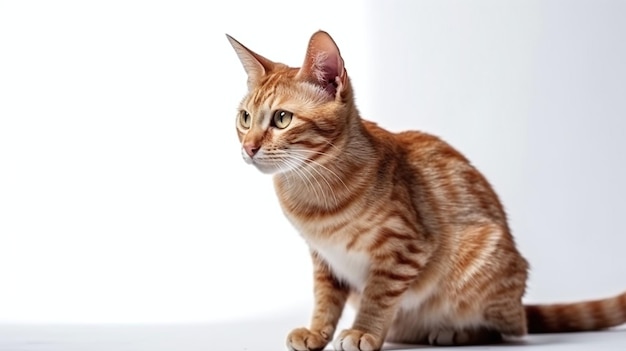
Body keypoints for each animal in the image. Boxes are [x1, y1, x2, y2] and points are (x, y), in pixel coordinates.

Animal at [225, 31, 624, 351]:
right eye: (244, 118)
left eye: (281, 119)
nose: (249, 147)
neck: (310, 188)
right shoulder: (325, 259)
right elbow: (326, 300)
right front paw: (317, 332)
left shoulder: (405, 247)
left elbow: (377, 297)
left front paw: (363, 331)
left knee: (507, 330)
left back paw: (454, 333)